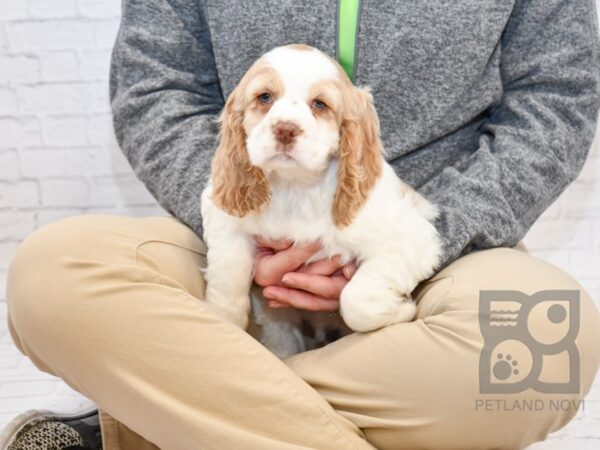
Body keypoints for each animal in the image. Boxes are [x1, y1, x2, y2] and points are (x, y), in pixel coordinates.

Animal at [202, 44, 440, 356]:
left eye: (319, 104)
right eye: (264, 97)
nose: (285, 129)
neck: (295, 187)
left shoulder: (410, 238)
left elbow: (355, 300)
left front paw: (401, 310)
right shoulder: (225, 222)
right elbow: (227, 281)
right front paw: (222, 325)